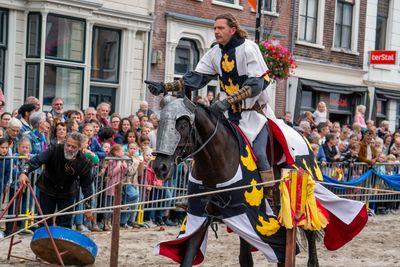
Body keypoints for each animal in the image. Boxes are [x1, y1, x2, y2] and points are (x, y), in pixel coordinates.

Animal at [151, 96, 318, 267]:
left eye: (183, 125)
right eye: (160, 122)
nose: (160, 167)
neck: (215, 167)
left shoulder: (248, 217)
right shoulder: (198, 216)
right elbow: (188, 257)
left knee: (310, 235)